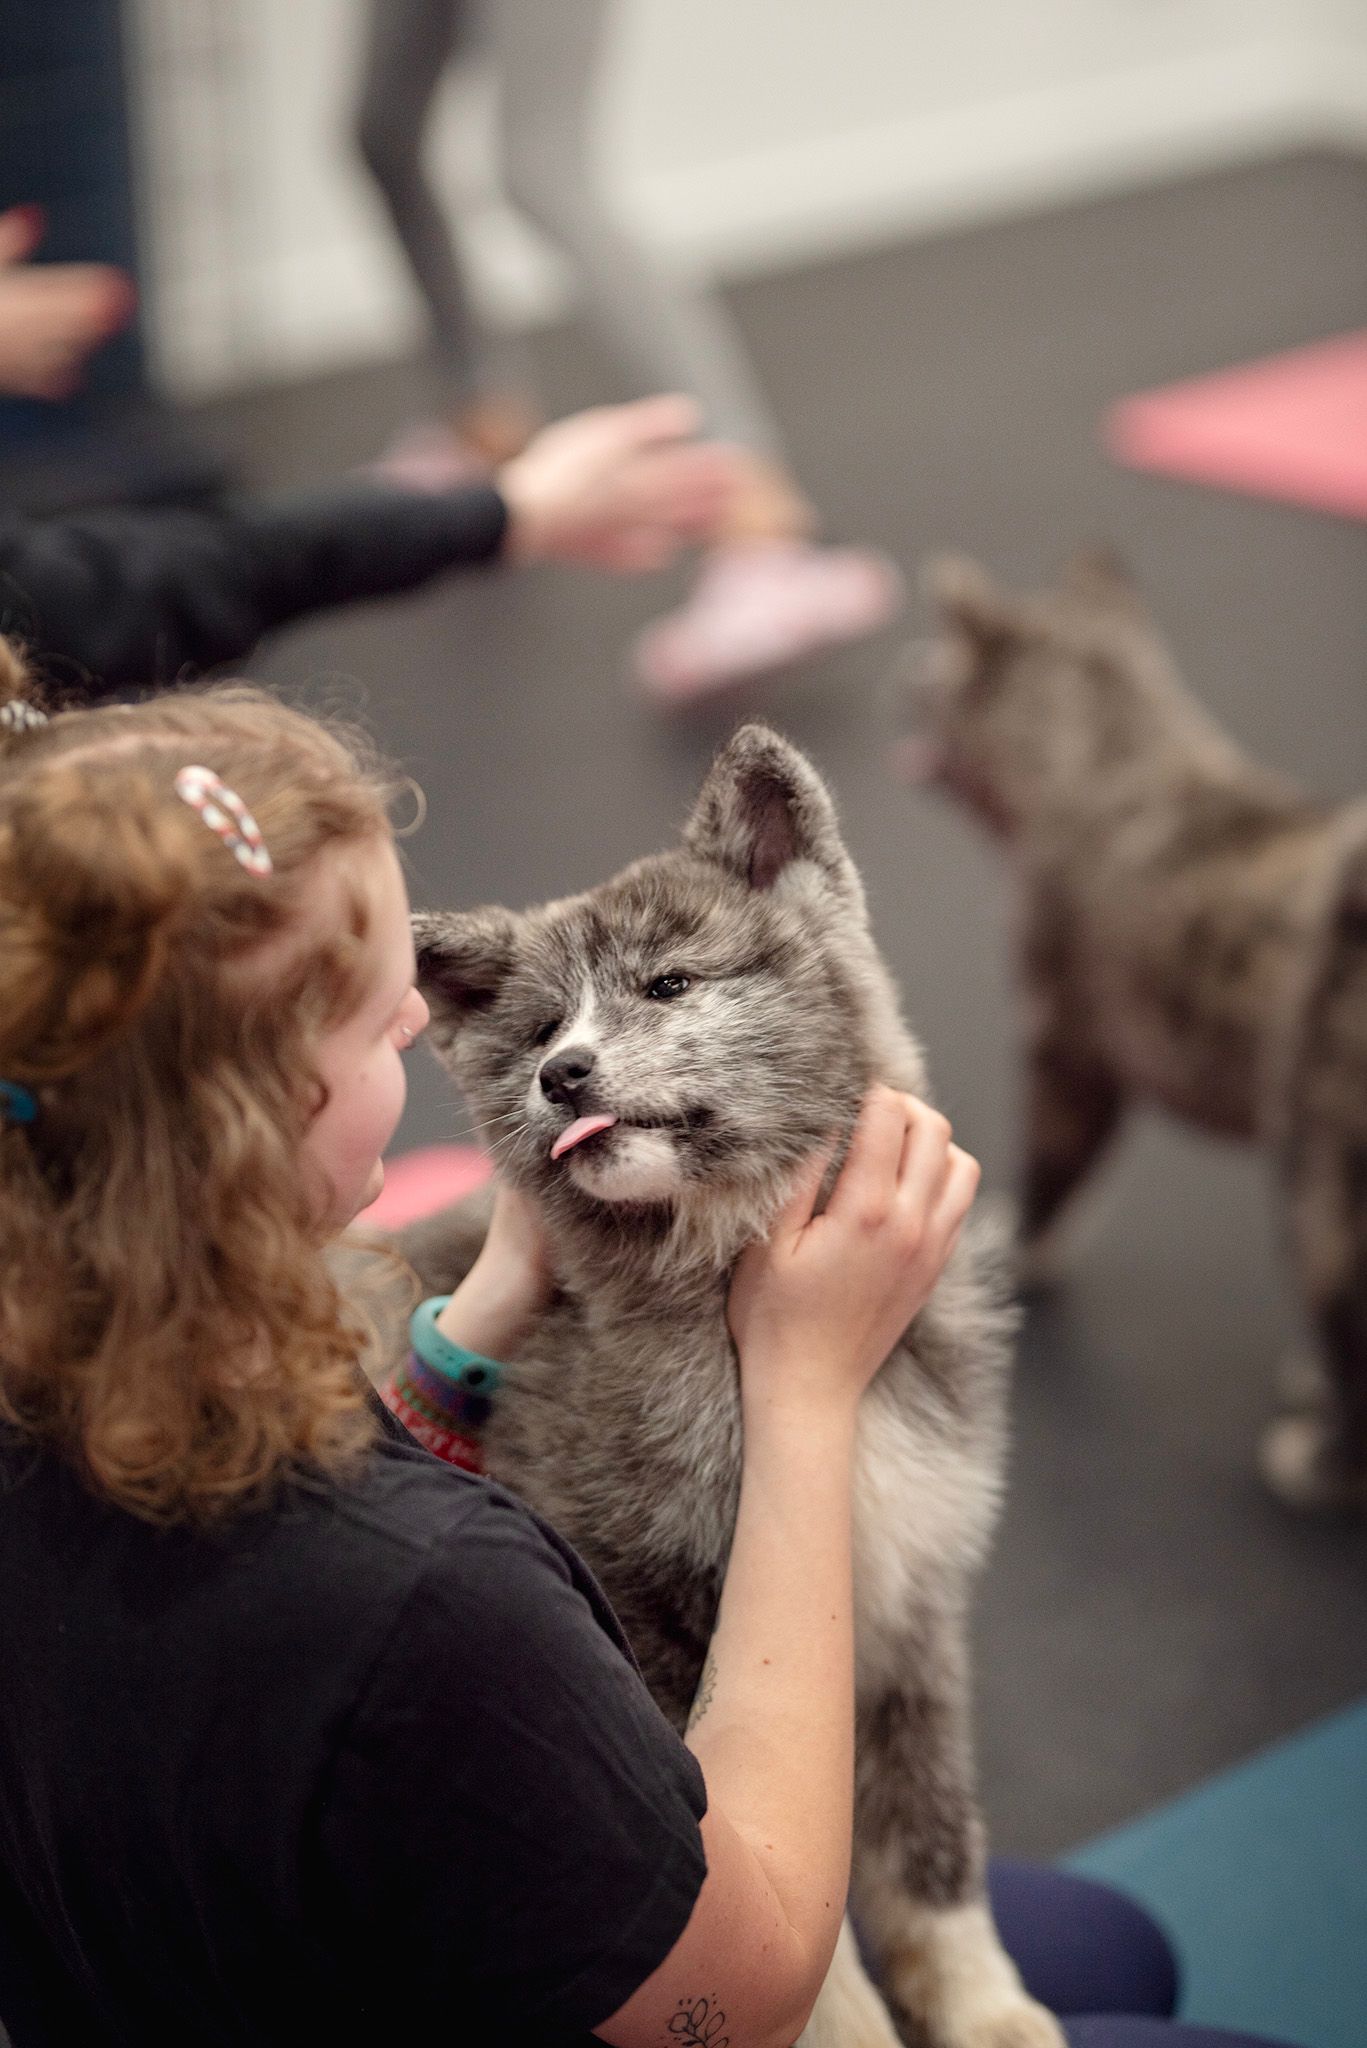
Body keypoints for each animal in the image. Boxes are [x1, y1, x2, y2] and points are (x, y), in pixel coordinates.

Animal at [389, 724, 1065, 2048]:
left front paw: (985, 2006)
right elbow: (808, 1949)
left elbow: (928, 1842)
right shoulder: (653, 1635)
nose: (562, 1075)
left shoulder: (907, 1608)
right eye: (540, 1028)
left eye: (666, 985)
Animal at [897, 552, 1367, 1515]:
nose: (904, 677)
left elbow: (1051, 1173)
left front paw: (1014, 1245)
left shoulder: (1064, 1047)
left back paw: (1321, 1462)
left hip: (1321, 1188)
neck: (1116, 746)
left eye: (933, 670)